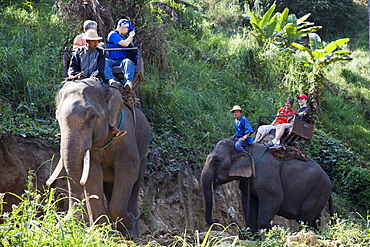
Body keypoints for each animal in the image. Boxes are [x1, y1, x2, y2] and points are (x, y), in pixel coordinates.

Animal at [46, 78, 150, 235]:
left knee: (136, 181)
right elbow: (92, 175)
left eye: (92, 116)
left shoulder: (126, 136)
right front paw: (101, 233)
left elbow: (128, 171)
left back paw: (132, 231)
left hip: (143, 148)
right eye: (57, 116)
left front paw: (127, 223)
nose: (66, 219)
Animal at [202, 138, 332, 234]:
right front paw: (254, 238)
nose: (216, 219)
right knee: (314, 220)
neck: (245, 147)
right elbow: (249, 202)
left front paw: (273, 230)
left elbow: (276, 198)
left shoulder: (267, 177)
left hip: (318, 190)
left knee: (305, 219)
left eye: (217, 161)